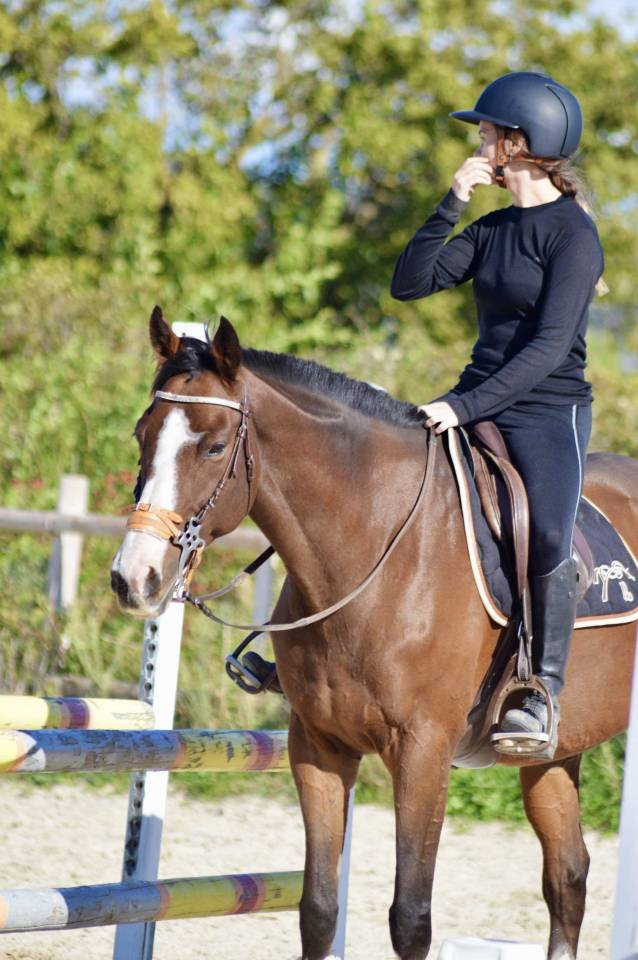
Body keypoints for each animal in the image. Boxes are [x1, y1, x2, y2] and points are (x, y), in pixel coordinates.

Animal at [111, 307, 638, 960]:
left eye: (212, 446)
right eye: (142, 435)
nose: (134, 578)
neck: (379, 549)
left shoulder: (423, 752)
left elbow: (410, 918)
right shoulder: (319, 746)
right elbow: (317, 908)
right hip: (554, 756)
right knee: (567, 879)